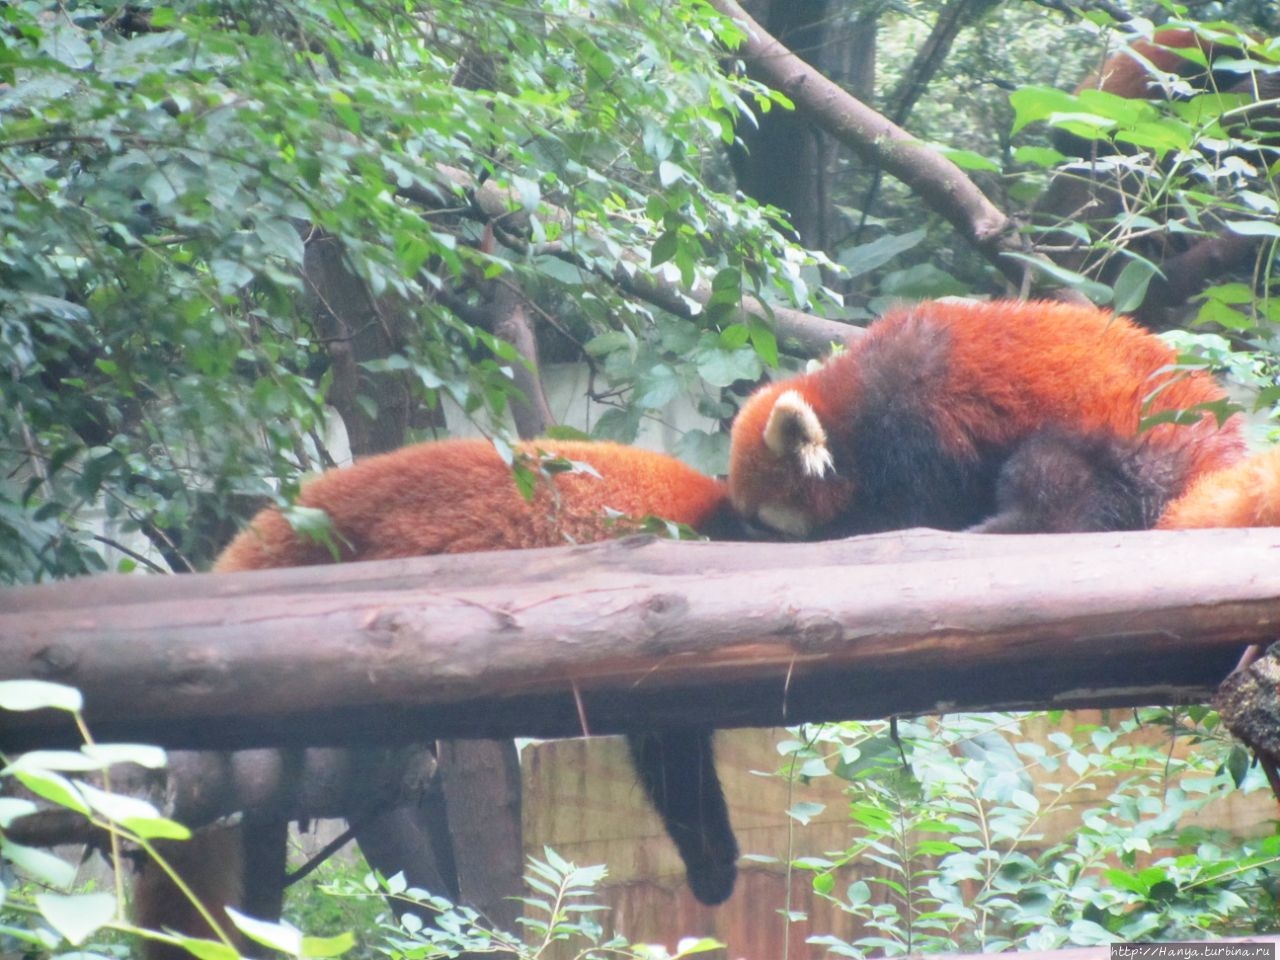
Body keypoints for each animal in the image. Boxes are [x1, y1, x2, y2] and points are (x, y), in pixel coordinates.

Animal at [727, 300, 1244, 542]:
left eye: (765, 521)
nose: (744, 529)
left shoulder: (919, 431)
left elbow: (910, 509)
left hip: (1128, 446)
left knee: (1056, 490)